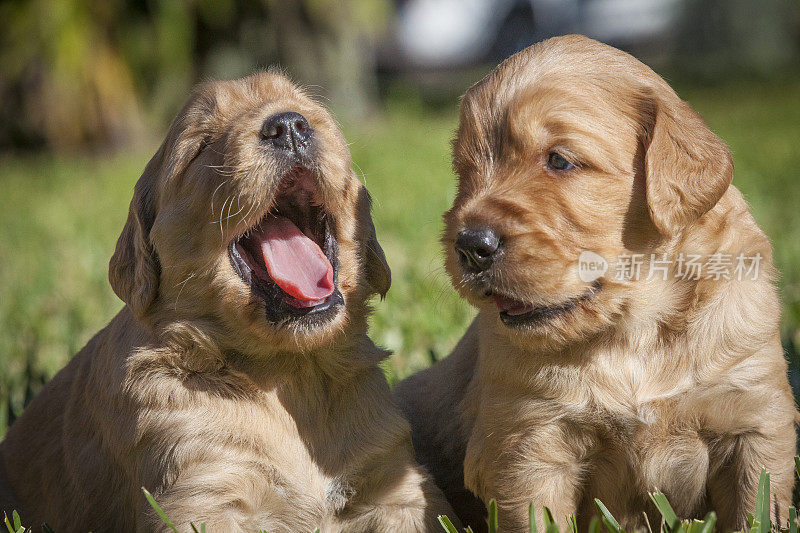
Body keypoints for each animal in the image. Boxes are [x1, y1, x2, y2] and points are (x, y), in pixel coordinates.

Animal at [0, 71, 456, 532]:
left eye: (310, 113)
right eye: (201, 145)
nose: (288, 126)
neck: (290, 372)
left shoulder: (397, 485)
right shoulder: (200, 495)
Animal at [396, 35, 800, 528]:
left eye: (560, 160)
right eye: (465, 169)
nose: (470, 246)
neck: (635, 332)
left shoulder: (754, 420)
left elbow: (756, 511)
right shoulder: (527, 447)